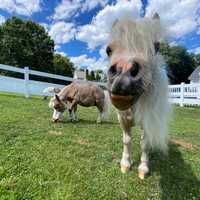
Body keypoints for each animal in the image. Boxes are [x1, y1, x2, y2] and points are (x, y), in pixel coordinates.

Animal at [107, 14, 170, 180]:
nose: (123, 76)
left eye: (156, 47)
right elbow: (127, 140)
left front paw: (143, 168)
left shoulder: (147, 121)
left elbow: (144, 144)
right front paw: (125, 164)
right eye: (108, 50)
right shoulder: (122, 119)